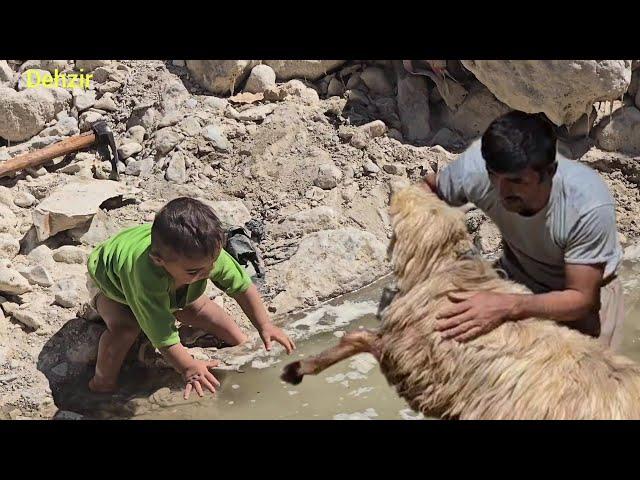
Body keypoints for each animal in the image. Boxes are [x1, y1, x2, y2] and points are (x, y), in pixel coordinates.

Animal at [282, 186, 640, 418]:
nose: (393, 185)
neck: (446, 271)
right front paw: (298, 368)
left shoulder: (413, 359)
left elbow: (359, 338)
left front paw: (298, 368)